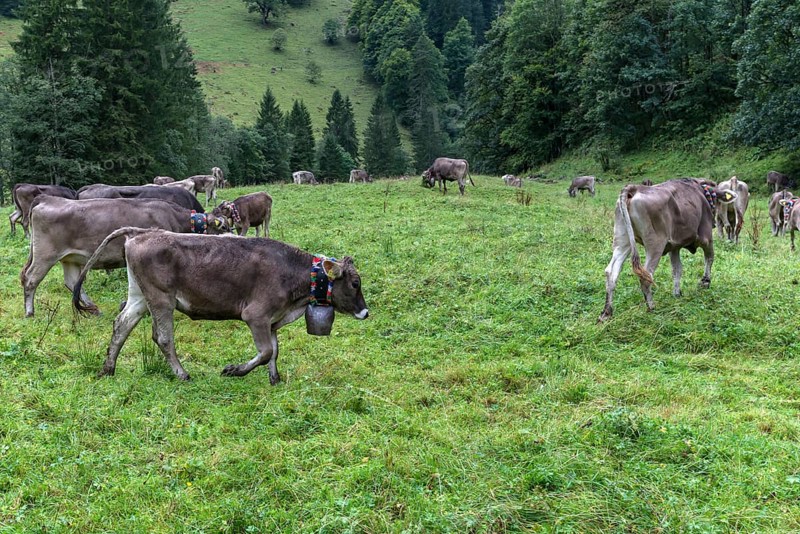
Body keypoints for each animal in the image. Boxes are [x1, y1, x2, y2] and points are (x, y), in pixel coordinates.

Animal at [21, 196, 228, 317]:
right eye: (224, 226)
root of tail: (48, 199)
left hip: (69, 257)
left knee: (71, 282)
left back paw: (93, 308)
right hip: (45, 254)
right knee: (30, 279)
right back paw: (30, 312)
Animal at [72, 228, 369, 382]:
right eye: (355, 283)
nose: (365, 312)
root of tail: (143, 232)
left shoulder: (273, 320)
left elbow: (274, 351)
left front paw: (275, 378)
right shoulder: (256, 315)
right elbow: (264, 352)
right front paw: (235, 370)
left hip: (139, 295)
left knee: (121, 325)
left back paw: (108, 368)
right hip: (160, 298)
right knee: (163, 337)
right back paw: (182, 373)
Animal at [599, 179, 738, 322]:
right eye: (717, 201)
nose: (715, 222)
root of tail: (635, 188)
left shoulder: (674, 246)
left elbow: (677, 269)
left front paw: (677, 294)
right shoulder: (706, 237)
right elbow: (709, 258)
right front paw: (705, 282)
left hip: (622, 239)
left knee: (611, 272)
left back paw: (606, 312)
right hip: (655, 244)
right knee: (646, 276)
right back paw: (651, 307)